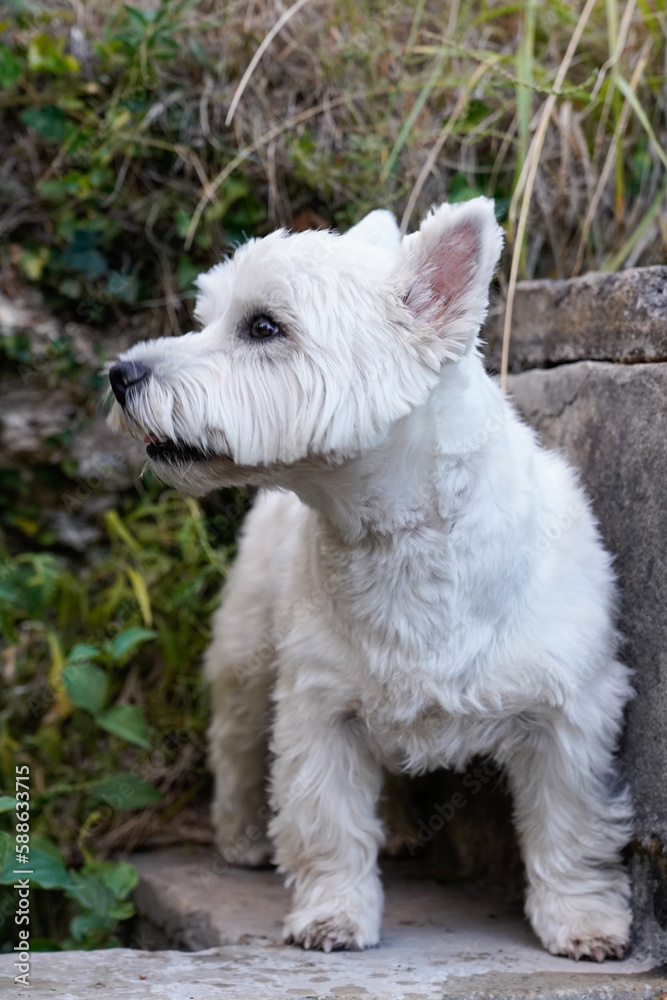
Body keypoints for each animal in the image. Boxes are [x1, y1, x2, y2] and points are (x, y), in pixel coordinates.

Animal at [108, 197, 632, 960]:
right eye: (208, 317)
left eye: (263, 326)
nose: (120, 373)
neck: (397, 534)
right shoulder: (319, 706)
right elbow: (325, 821)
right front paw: (333, 914)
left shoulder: (570, 711)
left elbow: (570, 824)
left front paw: (583, 920)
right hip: (247, 649)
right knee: (234, 741)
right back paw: (239, 836)